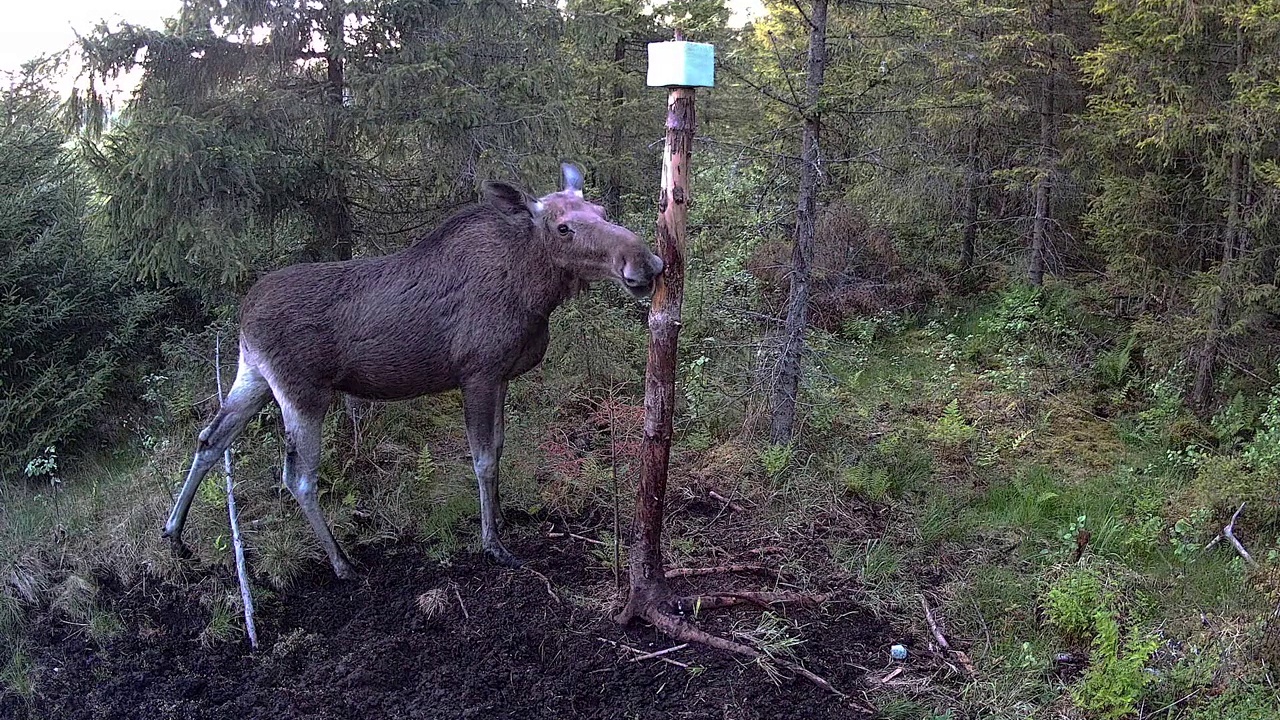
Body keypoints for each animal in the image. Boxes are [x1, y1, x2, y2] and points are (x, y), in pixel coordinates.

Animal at [161, 159, 665, 573]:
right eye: (562, 228)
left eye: (601, 210)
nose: (645, 262)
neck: (536, 294)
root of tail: (243, 315)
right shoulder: (476, 373)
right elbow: (483, 459)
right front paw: (493, 543)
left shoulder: (501, 375)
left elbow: (499, 448)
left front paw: (502, 516)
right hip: (303, 393)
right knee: (297, 477)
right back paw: (341, 562)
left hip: (254, 376)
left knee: (209, 439)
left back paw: (174, 535)